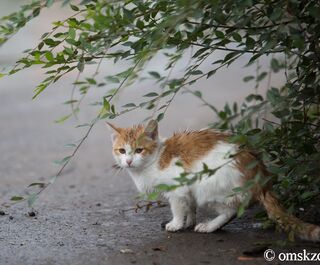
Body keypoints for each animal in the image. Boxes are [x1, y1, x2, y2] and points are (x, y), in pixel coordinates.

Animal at [108, 119, 320, 241]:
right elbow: (190, 208)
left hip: (208, 187)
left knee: (230, 211)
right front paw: (188, 221)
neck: (155, 160)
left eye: (139, 150)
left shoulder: (178, 190)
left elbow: (178, 209)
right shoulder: (187, 192)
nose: (128, 161)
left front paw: (176, 224)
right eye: (122, 151)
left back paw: (209, 226)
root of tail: (261, 174)